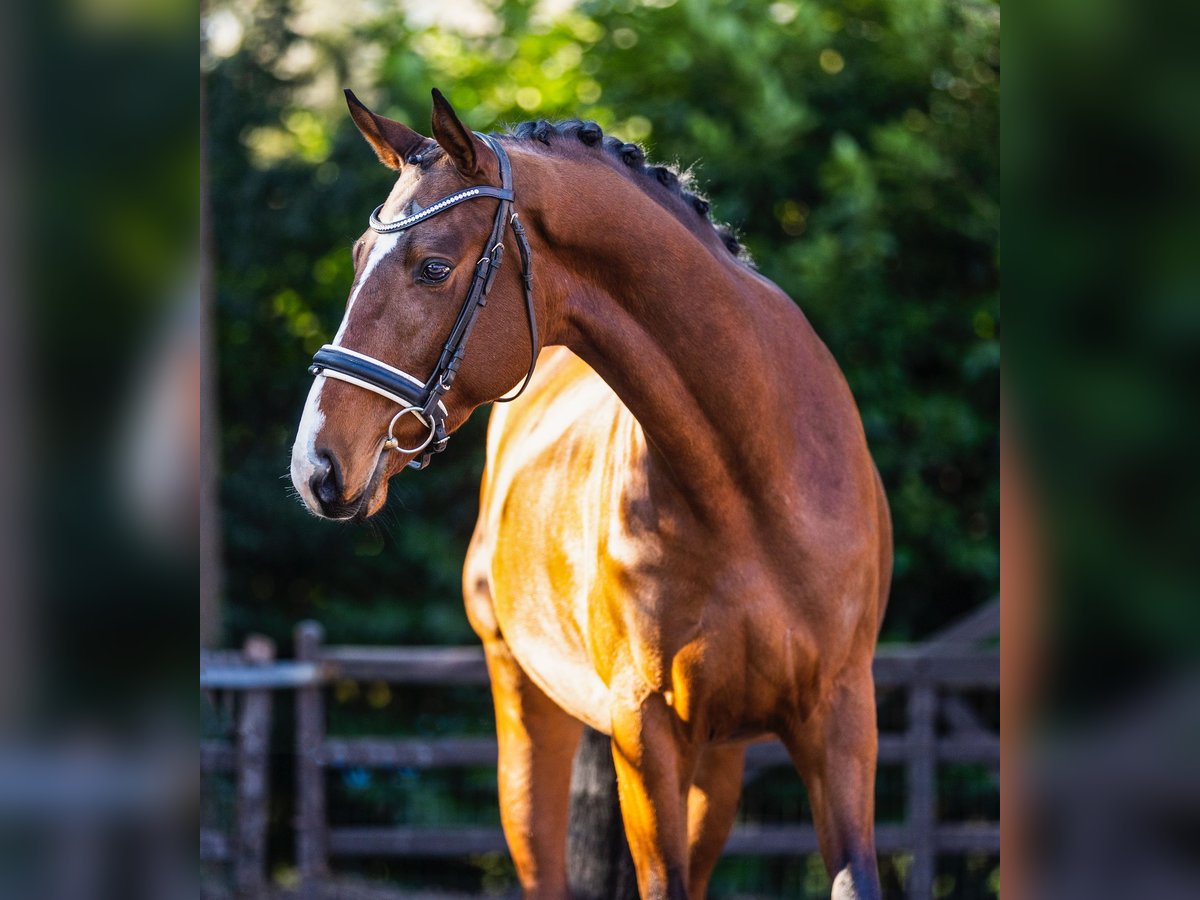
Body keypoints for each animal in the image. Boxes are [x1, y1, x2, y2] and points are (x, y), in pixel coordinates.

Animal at [290, 86, 892, 900]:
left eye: (433, 268)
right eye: (357, 258)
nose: (315, 465)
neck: (751, 487)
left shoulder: (841, 715)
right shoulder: (647, 729)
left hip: (722, 755)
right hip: (525, 712)